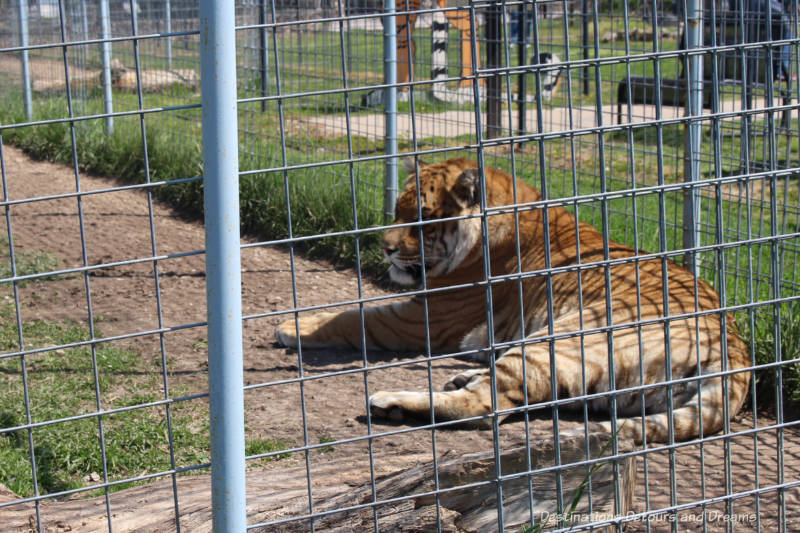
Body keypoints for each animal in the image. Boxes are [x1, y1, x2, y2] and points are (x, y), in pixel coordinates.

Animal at [276, 159, 752, 444]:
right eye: (397, 211)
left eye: (422, 219)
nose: (385, 247)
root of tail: (735, 353)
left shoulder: (421, 316)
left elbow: (352, 316)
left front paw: (290, 327)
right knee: (530, 396)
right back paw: (457, 378)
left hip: (568, 334)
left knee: (488, 408)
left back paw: (389, 402)